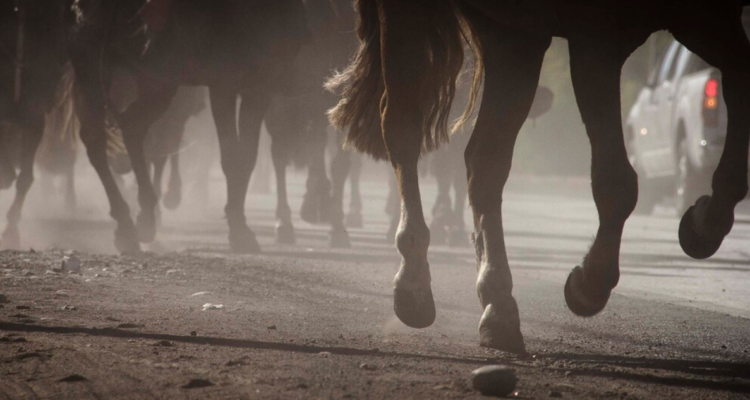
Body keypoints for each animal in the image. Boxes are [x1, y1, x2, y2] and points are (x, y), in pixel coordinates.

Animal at [68, 0, 311, 253]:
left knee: (133, 128)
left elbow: (246, 158)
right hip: (91, 61)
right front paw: (238, 230)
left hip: (156, 79)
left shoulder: (261, 87)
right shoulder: (223, 85)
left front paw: (240, 226)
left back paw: (143, 219)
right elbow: (232, 158)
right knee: (98, 139)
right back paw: (126, 225)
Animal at [328, 0, 750, 354]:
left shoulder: (709, 18)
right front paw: (589, 283)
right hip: (411, 15)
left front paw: (702, 224)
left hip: (514, 33)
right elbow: (615, 180)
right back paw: (413, 281)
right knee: (402, 125)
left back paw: (497, 306)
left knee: (484, 159)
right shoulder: (596, 34)